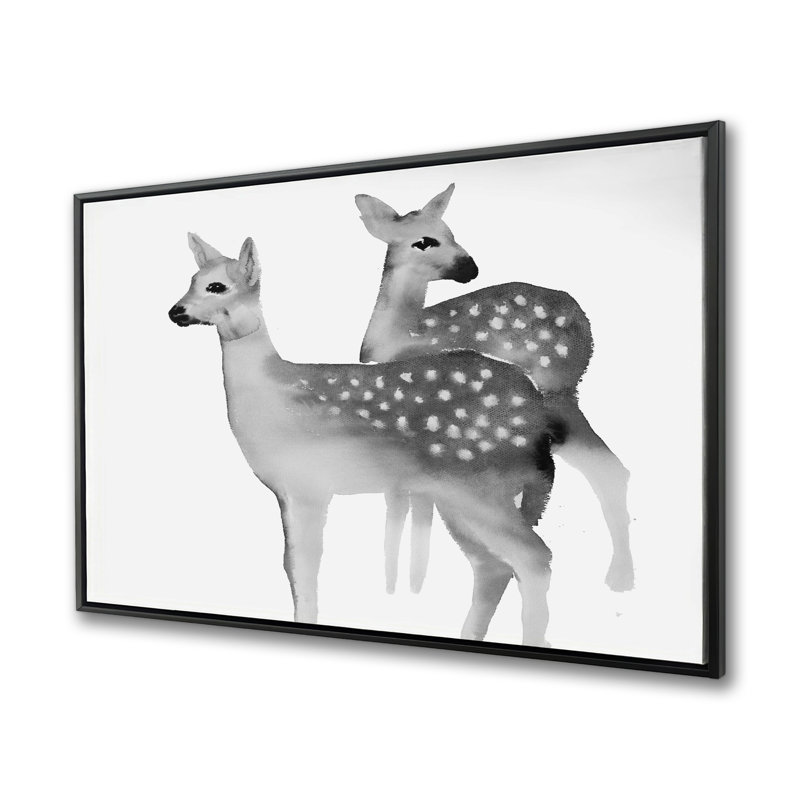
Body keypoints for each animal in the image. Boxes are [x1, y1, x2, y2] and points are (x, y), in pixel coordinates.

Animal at [168, 233, 565, 647]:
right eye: (192, 279)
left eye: (216, 286)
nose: (175, 311)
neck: (272, 392)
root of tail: (536, 411)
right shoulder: (287, 492)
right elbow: (292, 566)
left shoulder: (310, 484)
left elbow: (303, 566)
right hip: (457, 496)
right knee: (492, 565)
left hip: (482, 486)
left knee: (534, 559)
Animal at [356, 184, 633, 595]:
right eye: (424, 241)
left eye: (450, 231)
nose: (471, 267)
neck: (397, 339)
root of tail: (583, 322)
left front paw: (411, 585)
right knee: (610, 470)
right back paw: (619, 577)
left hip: (552, 395)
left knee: (605, 472)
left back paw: (617, 575)